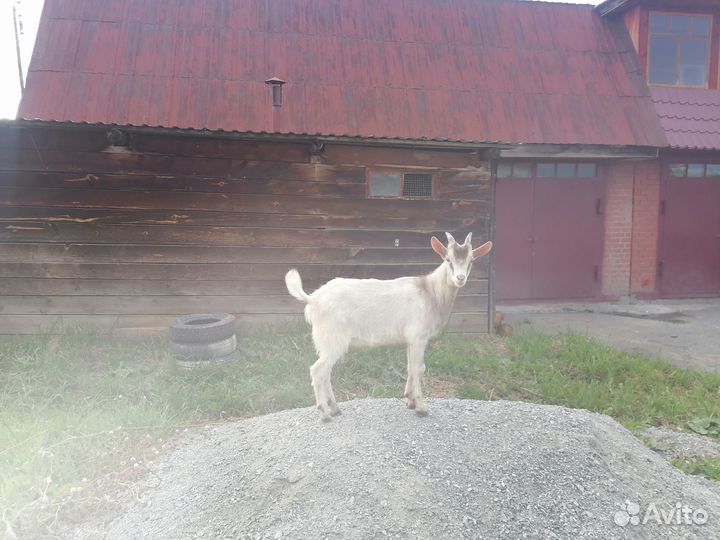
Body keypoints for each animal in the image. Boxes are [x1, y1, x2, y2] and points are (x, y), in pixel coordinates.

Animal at [285, 232, 492, 421]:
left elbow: (410, 367)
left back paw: (335, 408)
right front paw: (421, 407)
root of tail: (314, 299)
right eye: (448, 259)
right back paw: (325, 413)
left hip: (327, 342)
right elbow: (419, 368)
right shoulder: (418, 336)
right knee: (318, 370)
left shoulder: (411, 339)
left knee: (325, 372)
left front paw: (409, 400)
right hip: (333, 337)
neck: (430, 291)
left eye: (472, 260)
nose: (460, 278)